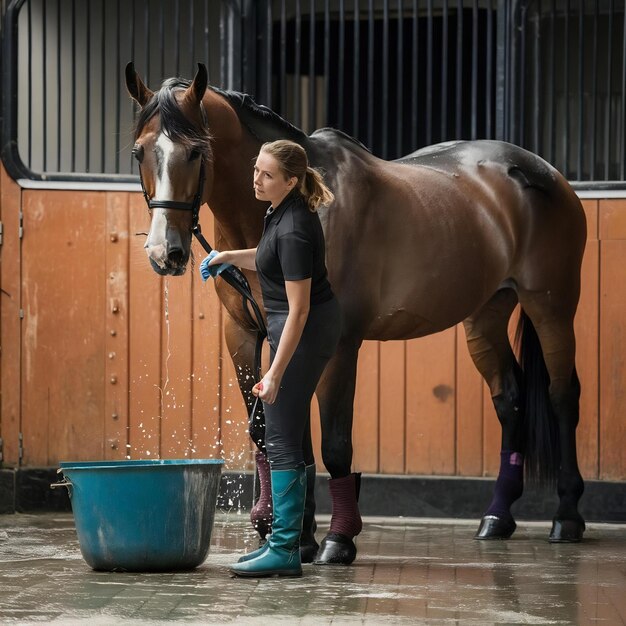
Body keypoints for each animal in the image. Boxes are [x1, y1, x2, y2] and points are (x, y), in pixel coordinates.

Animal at [125, 64, 584, 564]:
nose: (164, 253)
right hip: (485, 315)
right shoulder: (247, 335)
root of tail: (544, 172)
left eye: (195, 151)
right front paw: (295, 536)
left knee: (562, 396)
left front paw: (336, 541)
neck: (295, 211)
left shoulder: (338, 343)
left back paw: (567, 516)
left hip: (551, 305)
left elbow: (333, 444)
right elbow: (279, 434)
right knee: (510, 399)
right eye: (139, 151)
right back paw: (497, 517)